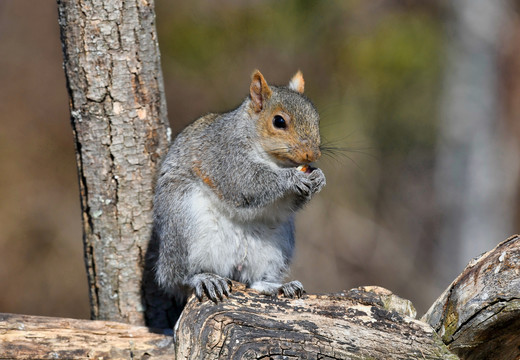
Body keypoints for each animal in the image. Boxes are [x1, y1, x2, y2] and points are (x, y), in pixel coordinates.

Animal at [152, 69, 328, 304]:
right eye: (279, 121)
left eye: (316, 118)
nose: (313, 155)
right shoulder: (225, 155)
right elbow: (247, 182)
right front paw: (292, 179)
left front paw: (319, 177)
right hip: (183, 228)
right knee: (179, 278)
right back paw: (204, 278)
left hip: (276, 246)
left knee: (255, 281)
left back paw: (279, 286)